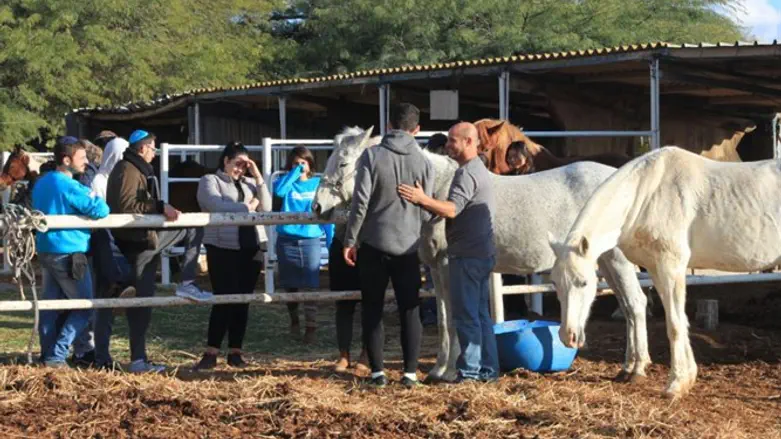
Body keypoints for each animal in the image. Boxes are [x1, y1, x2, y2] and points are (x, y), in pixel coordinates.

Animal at [313, 126, 650, 382]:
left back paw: (636, 370)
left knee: (635, 303)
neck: (438, 189)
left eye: (343, 163)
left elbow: (453, 319)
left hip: (615, 260)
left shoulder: (449, 265)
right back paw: (628, 366)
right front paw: (438, 369)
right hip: (602, 261)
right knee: (627, 305)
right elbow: (445, 317)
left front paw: (450, 372)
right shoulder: (435, 269)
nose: (317, 206)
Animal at [548, 146, 781, 398]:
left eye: (583, 282)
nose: (567, 336)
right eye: (555, 285)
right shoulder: (657, 269)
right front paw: (687, 379)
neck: (648, 192)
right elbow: (680, 320)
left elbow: (675, 325)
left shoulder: (672, 268)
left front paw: (675, 385)